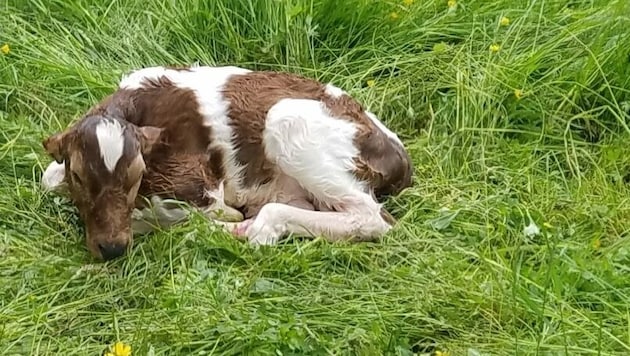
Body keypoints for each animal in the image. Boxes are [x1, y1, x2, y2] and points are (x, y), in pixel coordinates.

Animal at [39, 64, 414, 260]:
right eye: (79, 175)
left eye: (136, 174)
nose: (113, 248)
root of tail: (401, 159)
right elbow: (47, 177)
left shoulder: (202, 188)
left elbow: (178, 212)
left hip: (286, 120)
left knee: (372, 218)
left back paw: (254, 227)